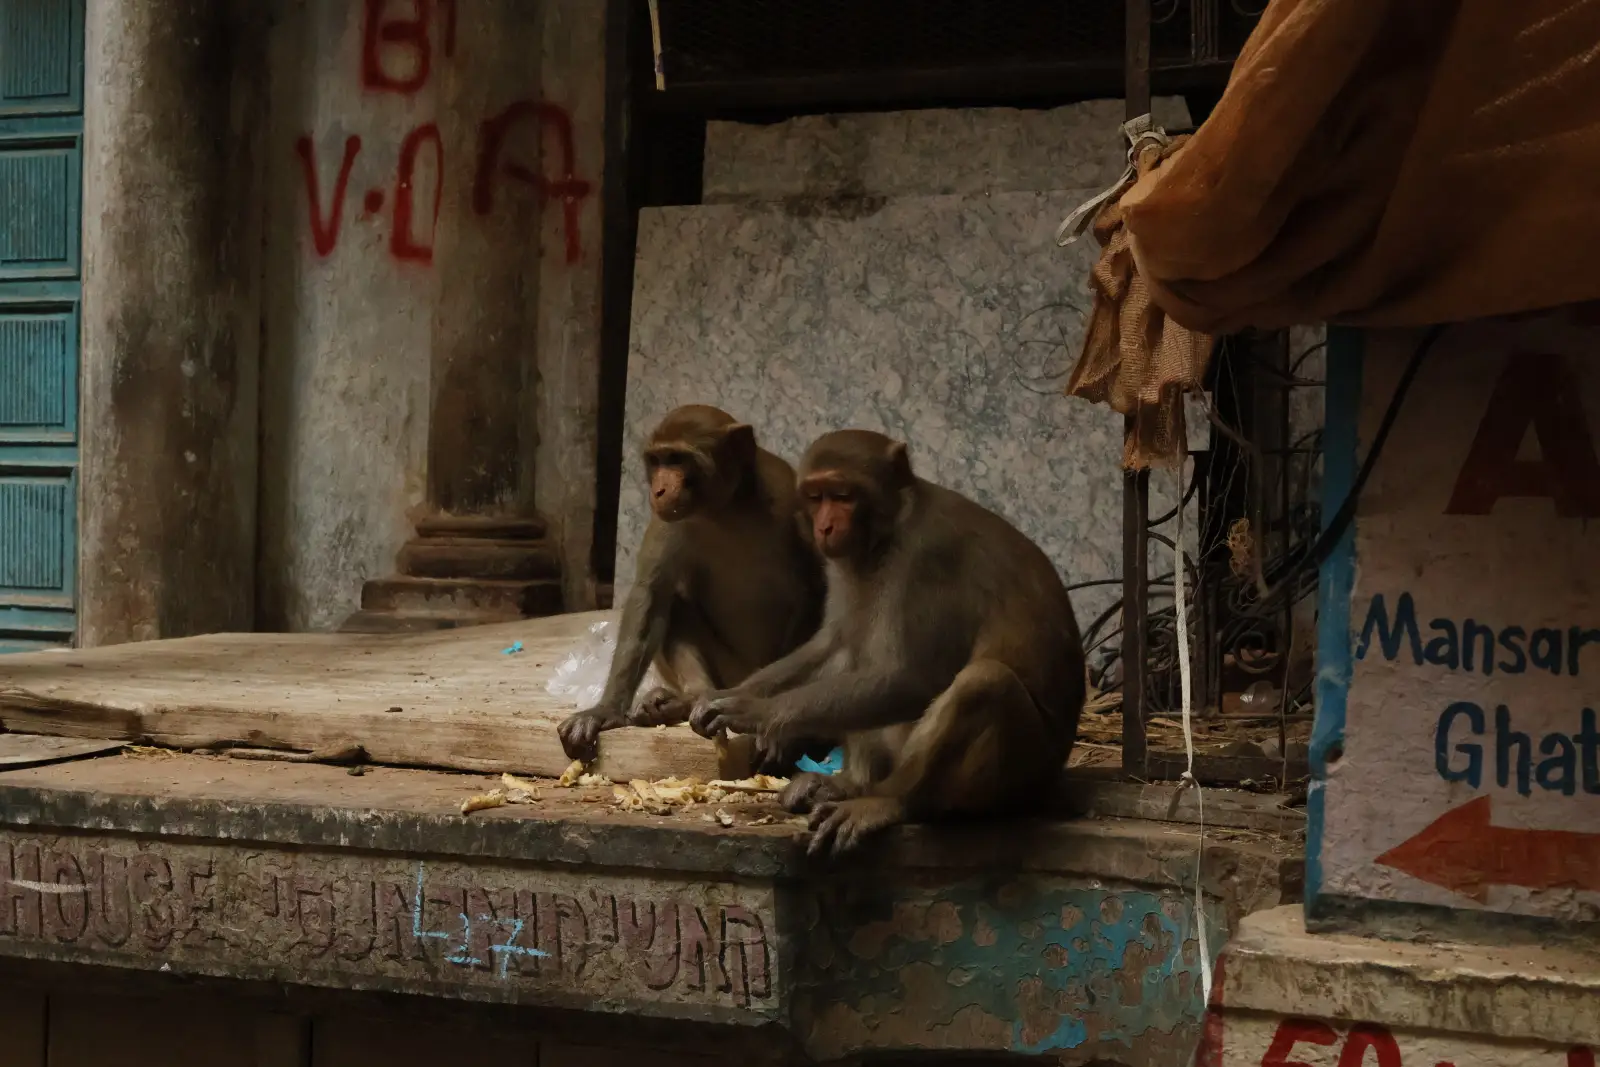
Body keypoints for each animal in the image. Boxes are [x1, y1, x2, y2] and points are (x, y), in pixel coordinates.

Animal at [557, 405, 827, 766]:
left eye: (679, 459)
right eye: (657, 460)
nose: (658, 490)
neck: (727, 509)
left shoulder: (794, 504)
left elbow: (815, 595)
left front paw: (774, 729)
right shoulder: (667, 520)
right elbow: (652, 595)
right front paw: (605, 711)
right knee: (673, 600)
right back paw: (687, 699)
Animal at [688, 429, 1086, 859]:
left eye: (843, 495)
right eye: (815, 497)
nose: (825, 527)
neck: (889, 531)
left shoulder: (925, 559)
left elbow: (914, 679)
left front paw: (756, 713)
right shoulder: (843, 562)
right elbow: (832, 643)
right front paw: (726, 695)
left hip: (1017, 779)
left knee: (983, 682)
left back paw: (886, 801)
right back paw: (849, 784)